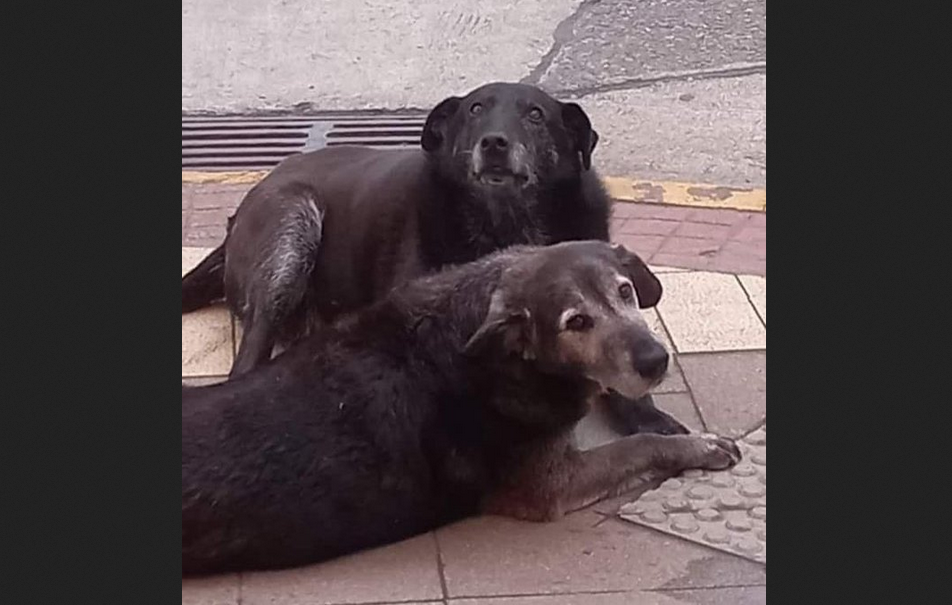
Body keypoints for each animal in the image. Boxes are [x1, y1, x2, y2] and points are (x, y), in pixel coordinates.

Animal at [182, 238, 740, 572]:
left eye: (625, 291)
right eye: (576, 322)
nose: (654, 359)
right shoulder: (550, 484)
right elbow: (637, 448)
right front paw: (699, 446)